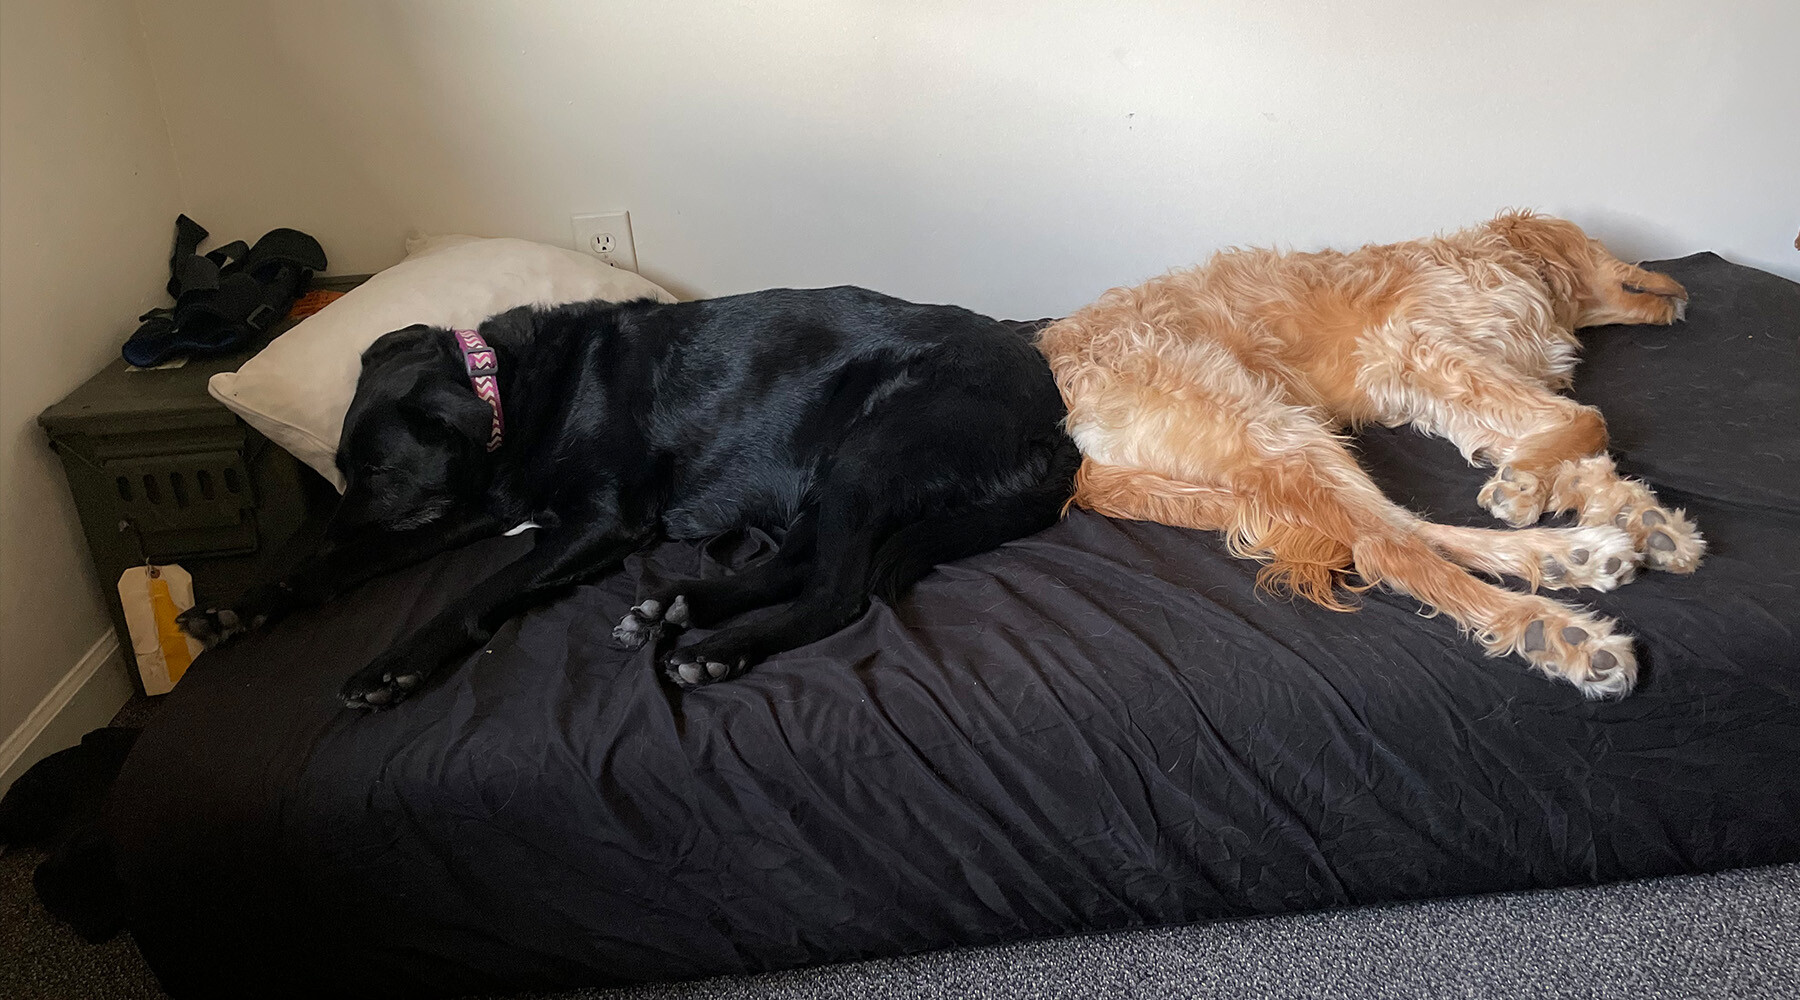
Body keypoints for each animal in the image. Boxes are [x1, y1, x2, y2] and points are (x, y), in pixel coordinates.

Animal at [179, 285, 1080, 708]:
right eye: (339, 467)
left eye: (378, 474)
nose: (323, 532)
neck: (508, 390)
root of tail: (1057, 418)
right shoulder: (476, 504)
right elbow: (366, 558)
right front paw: (247, 603)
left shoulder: (601, 521)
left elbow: (480, 589)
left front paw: (394, 664)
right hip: (821, 472)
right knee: (798, 567)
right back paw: (681, 604)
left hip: (869, 449)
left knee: (837, 590)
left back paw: (715, 646)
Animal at [1044, 211, 1699, 694]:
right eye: (1605, 245)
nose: (1685, 292)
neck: (1509, 264)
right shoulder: (1420, 348)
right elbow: (1588, 421)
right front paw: (1526, 487)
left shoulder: (1456, 393)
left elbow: (1576, 445)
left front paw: (1642, 516)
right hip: (1270, 426)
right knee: (1387, 549)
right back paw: (1556, 630)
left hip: (1281, 439)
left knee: (1400, 527)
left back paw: (1576, 554)